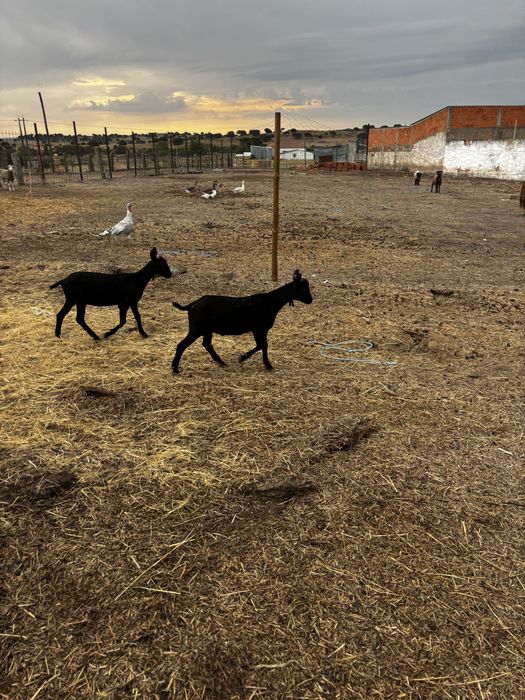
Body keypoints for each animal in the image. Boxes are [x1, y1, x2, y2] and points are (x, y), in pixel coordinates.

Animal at [171, 270, 313, 374]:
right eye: (304, 289)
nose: (310, 300)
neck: (271, 302)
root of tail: (191, 305)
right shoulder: (259, 328)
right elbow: (262, 345)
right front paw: (246, 358)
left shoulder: (260, 329)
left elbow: (263, 345)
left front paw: (262, 363)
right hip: (197, 328)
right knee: (182, 345)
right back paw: (175, 368)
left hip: (207, 329)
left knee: (206, 344)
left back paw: (221, 362)